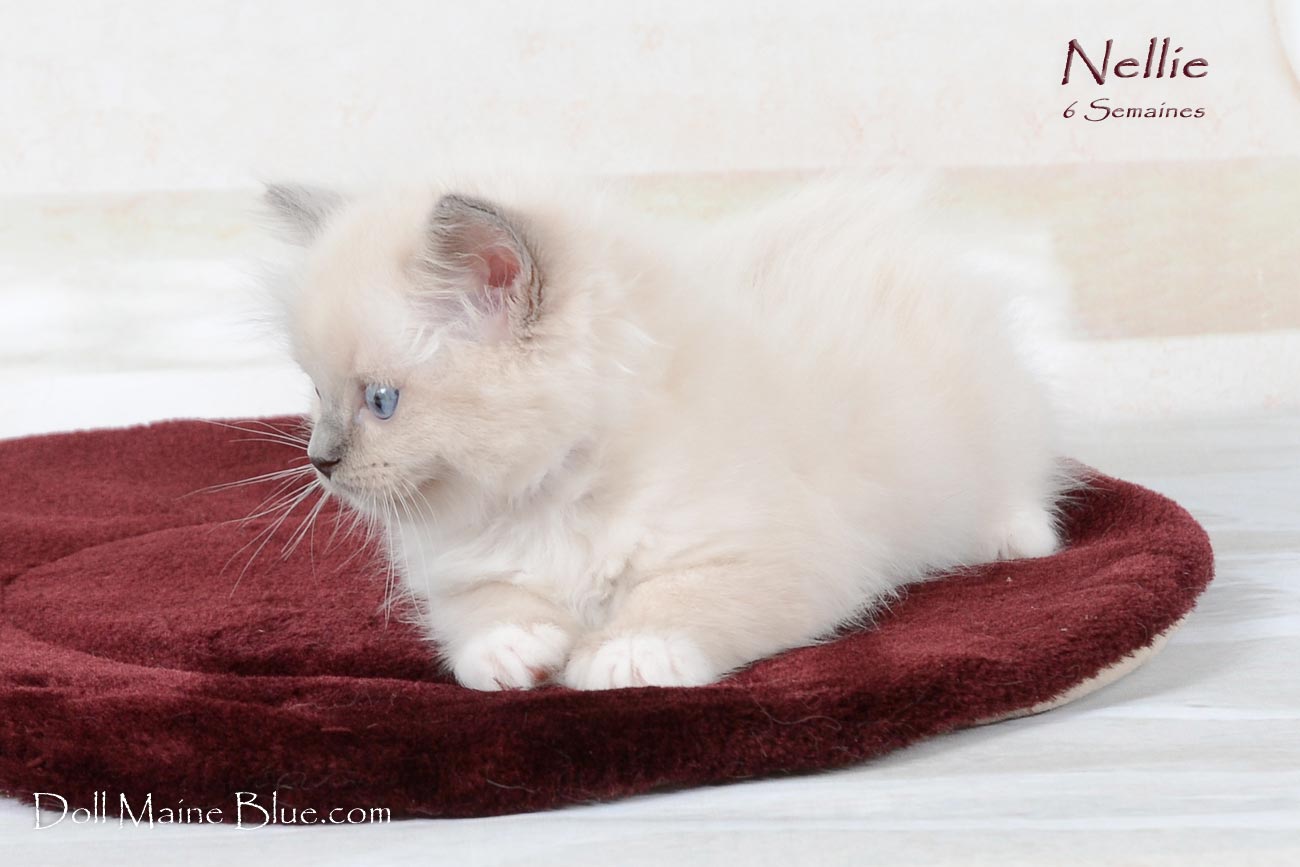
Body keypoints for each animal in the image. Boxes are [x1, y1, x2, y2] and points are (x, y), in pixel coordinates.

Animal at [263, 173, 1072, 691]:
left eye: (382, 401)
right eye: (316, 392)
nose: (320, 460)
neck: (551, 497)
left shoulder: (780, 552)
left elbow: (683, 598)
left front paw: (625, 655)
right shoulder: (467, 575)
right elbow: (483, 613)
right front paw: (513, 652)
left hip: (992, 428)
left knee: (1024, 478)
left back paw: (1018, 537)